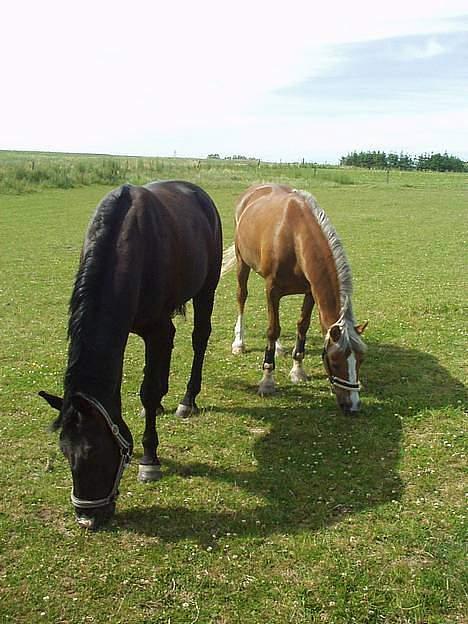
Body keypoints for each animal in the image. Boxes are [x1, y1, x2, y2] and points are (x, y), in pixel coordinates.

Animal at [40, 180, 223, 528]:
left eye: (94, 453)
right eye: (65, 452)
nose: (87, 518)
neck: (125, 244)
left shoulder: (157, 328)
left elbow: (148, 391)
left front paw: (149, 459)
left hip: (207, 289)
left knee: (199, 339)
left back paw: (187, 399)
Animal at [225, 182, 368, 414]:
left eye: (361, 360)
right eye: (335, 362)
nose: (353, 405)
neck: (294, 236)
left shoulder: (309, 292)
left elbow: (302, 326)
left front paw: (298, 371)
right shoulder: (272, 289)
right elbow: (273, 329)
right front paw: (267, 380)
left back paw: (279, 348)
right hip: (242, 262)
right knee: (242, 297)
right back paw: (239, 343)